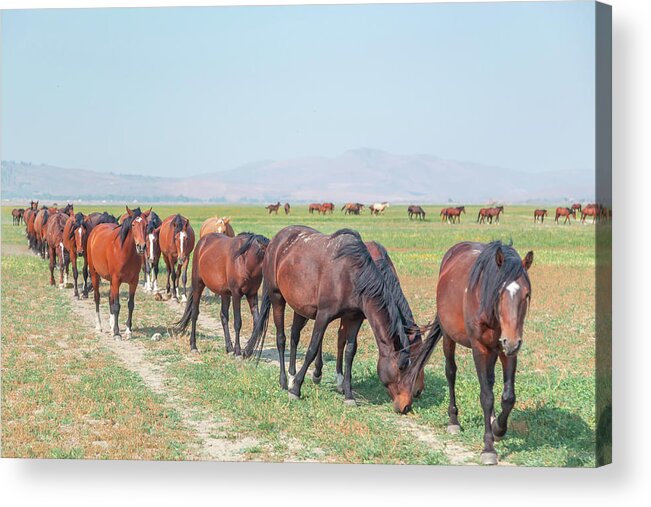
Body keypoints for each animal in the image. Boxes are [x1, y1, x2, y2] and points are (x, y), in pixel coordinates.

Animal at [86, 206, 151, 342]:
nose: (141, 246)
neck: (124, 252)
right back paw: (99, 326)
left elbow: (130, 304)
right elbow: (116, 305)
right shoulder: (116, 280)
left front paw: (128, 331)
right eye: (133, 225)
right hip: (95, 275)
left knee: (110, 298)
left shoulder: (133, 282)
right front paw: (117, 333)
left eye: (146, 225)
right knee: (97, 297)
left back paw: (111, 326)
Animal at [244, 228, 444, 414]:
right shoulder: (324, 315)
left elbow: (349, 351)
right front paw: (296, 390)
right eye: (403, 367)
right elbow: (312, 348)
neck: (352, 274)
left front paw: (348, 394)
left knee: (294, 336)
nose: (407, 404)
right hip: (277, 296)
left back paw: (294, 374)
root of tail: (278, 239)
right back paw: (285, 381)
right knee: (281, 338)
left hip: (301, 307)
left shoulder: (354, 317)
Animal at [432, 240, 536, 466]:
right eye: (500, 293)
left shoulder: (507, 351)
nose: (512, 341)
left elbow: (508, 396)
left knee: (490, 379)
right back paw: (453, 420)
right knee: (451, 372)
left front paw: (498, 428)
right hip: (448, 336)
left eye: (526, 294)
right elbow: (486, 396)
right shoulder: (479, 348)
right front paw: (488, 448)